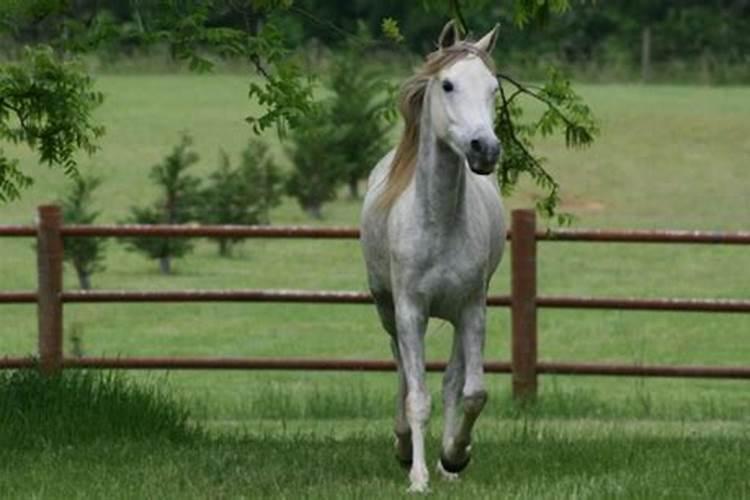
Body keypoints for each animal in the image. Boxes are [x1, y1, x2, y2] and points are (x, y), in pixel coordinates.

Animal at [362, 20, 508, 492]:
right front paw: (418, 477)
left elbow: (471, 392)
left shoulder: (472, 309)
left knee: (450, 381)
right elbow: (417, 397)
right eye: (447, 84)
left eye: (493, 88)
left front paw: (454, 457)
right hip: (387, 311)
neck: (439, 223)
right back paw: (403, 446)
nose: (485, 149)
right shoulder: (411, 312)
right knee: (402, 375)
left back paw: (447, 465)